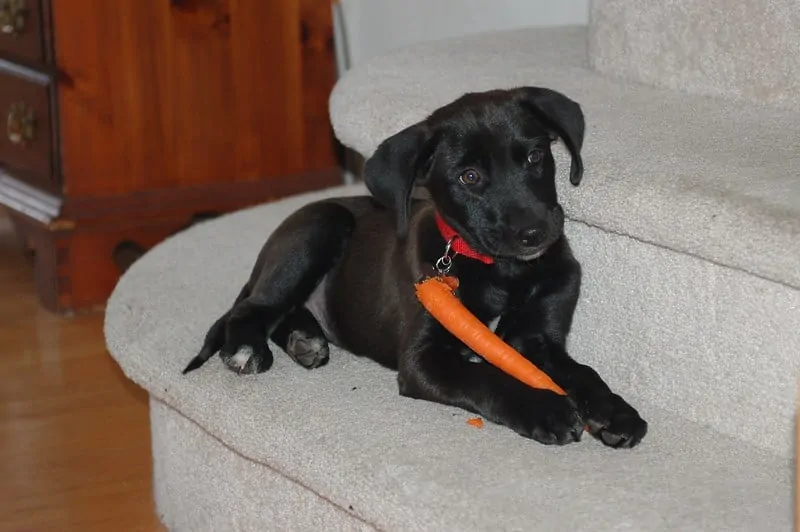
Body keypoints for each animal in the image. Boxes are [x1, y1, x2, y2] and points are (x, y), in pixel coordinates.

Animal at [186, 87, 648, 448]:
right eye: (468, 177)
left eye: (536, 157)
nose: (535, 233)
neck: (501, 272)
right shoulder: (422, 360)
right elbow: (489, 379)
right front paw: (546, 408)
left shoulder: (538, 340)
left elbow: (582, 372)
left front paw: (615, 411)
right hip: (321, 225)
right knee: (254, 308)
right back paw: (248, 349)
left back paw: (305, 340)